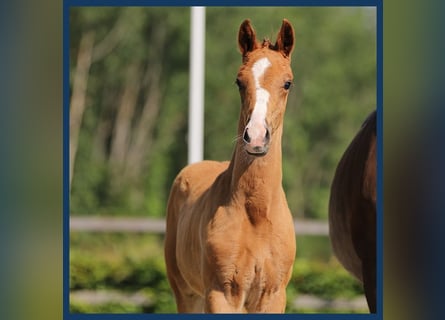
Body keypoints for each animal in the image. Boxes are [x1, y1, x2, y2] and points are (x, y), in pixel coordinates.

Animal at [163, 20, 294, 312]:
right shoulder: (221, 293)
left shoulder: (273, 295)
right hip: (186, 293)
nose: (256, 137)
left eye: (287, 83)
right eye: (239, 82)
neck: (257, 214)